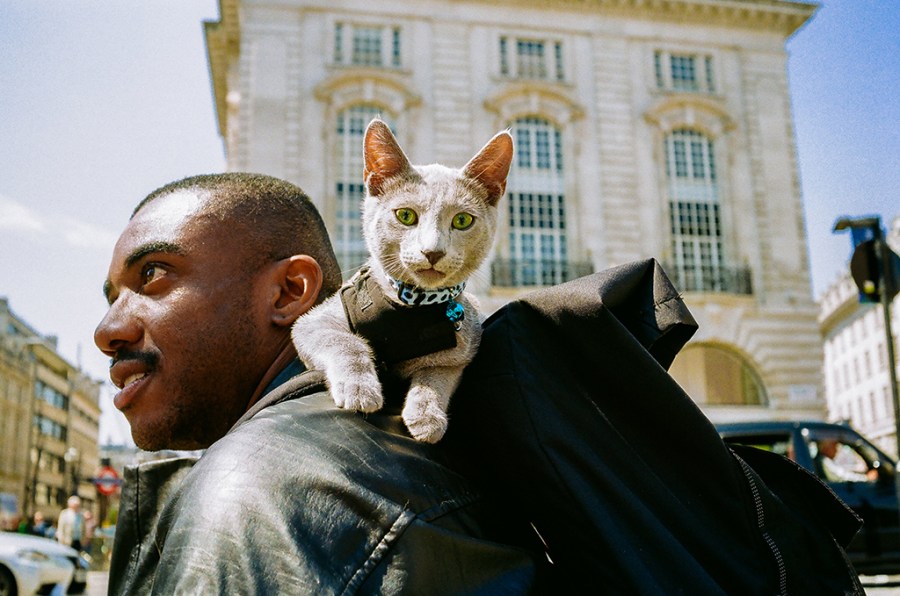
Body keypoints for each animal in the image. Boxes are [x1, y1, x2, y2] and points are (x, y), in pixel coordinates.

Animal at [292, 117, 510, 442]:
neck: (411, 306)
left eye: (462, 221)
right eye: (405, 215)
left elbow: (438, 374)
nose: (432, 251)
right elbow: (343, 341)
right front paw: (360, 389)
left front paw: (427, 415)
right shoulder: (314, 321)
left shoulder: (463, 343)